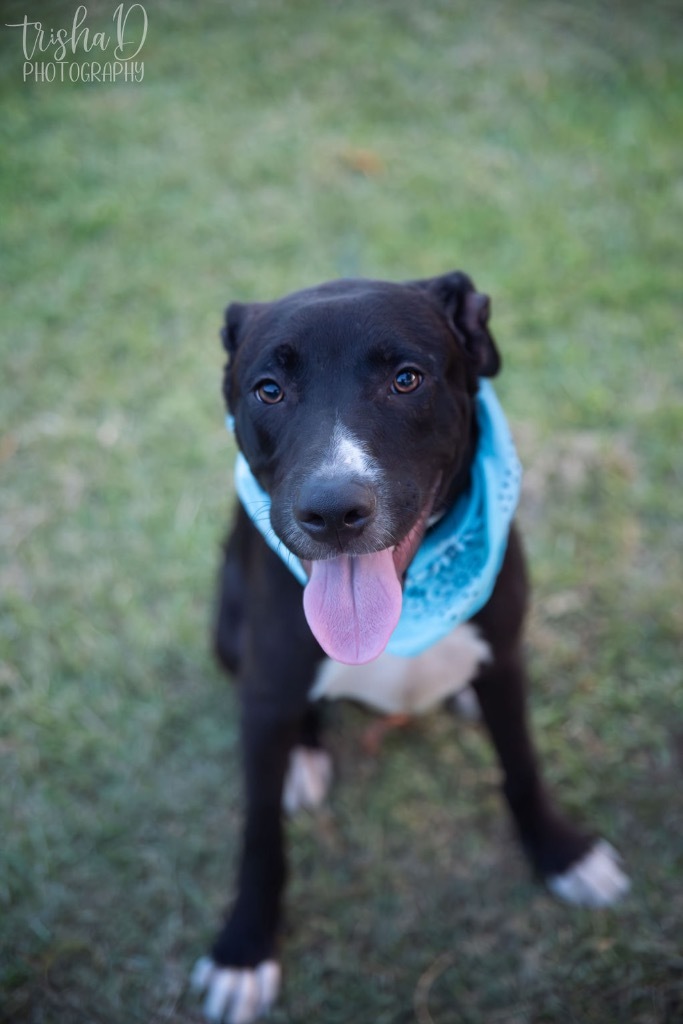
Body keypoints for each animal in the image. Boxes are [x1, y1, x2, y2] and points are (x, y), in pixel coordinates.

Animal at [192, 272, 630, 1024]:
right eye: (268, 389)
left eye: (406, 379)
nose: (333, 511)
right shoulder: (269, 682)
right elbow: (259, 834)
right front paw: (244, 949)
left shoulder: (504, 655)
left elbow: (521, 764)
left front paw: (561, 854)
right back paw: (301, 758)